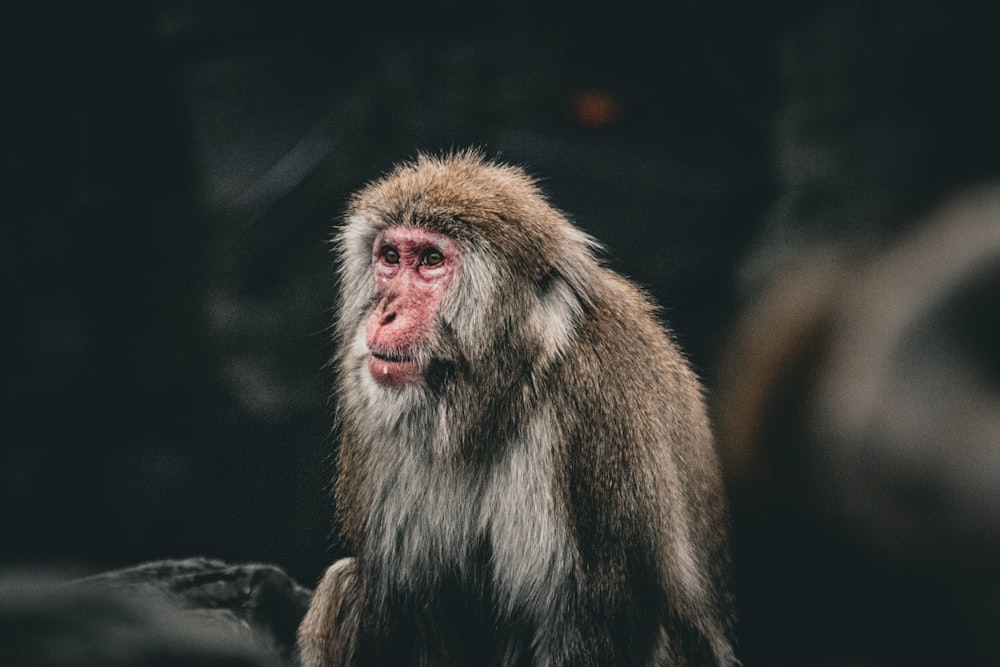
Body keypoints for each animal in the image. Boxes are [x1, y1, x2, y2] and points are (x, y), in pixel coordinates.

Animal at [296, 151, 736, 667]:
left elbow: (594, 624)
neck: (495, 399)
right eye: (390, 258)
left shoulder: (595, 414)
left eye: (431, 260)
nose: (385, 311)